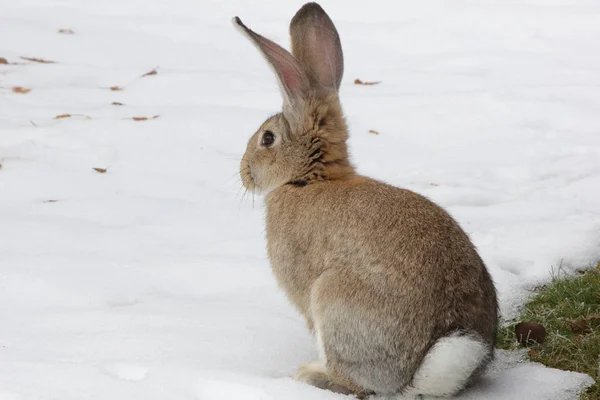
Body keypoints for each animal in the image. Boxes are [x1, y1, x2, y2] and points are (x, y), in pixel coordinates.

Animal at [232, 1, 500, 398]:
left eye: (267, 138)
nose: (244, 174)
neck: (308, 180)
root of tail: (427, 371)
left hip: (332, 298)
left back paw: (311, 375)